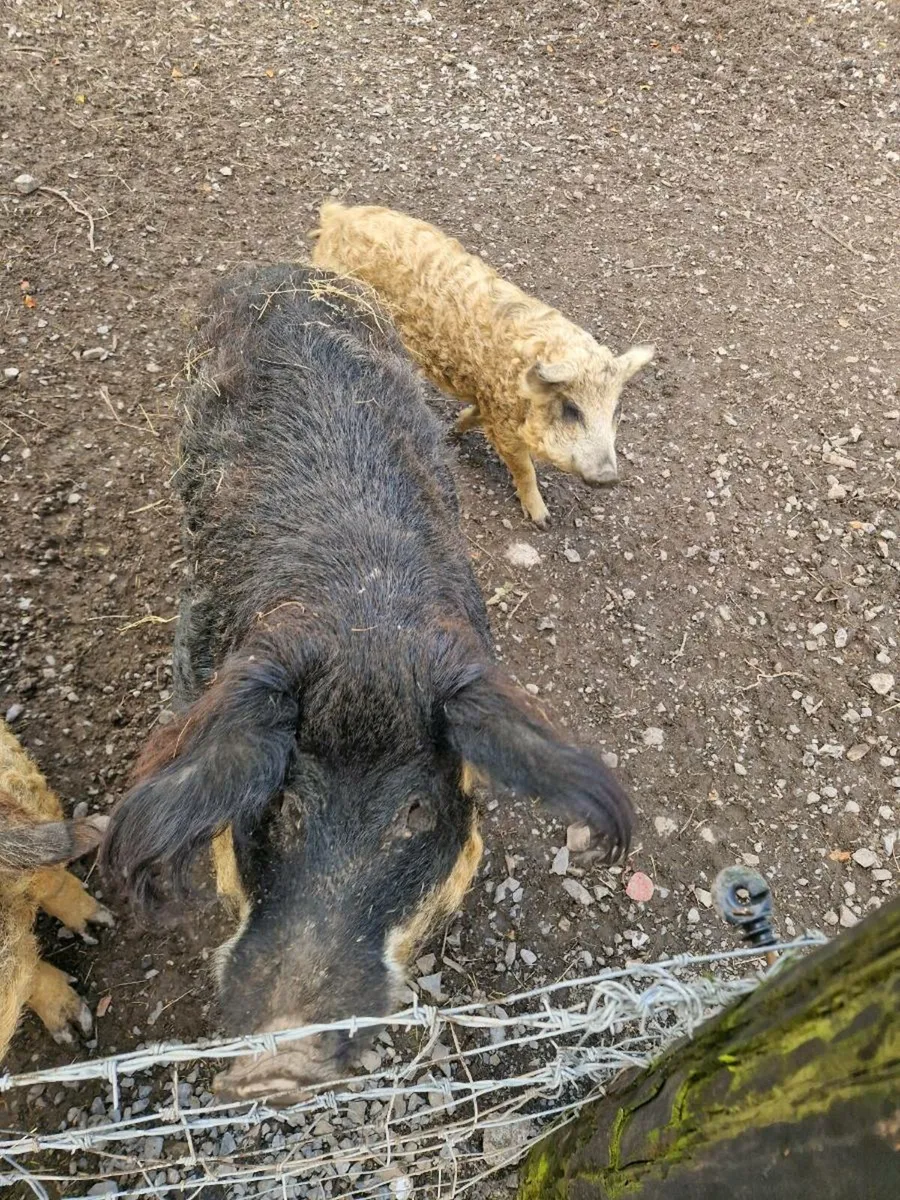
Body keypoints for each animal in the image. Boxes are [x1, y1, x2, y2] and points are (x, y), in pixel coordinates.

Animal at [309, 201, 655, 528]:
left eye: (615, 411)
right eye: (572, 409)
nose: (608, 478)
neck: (520, 383)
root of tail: (336, 216)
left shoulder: (489, 401)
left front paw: (453, 431)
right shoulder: (503, 421)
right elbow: (524, 468)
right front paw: (543, 520)